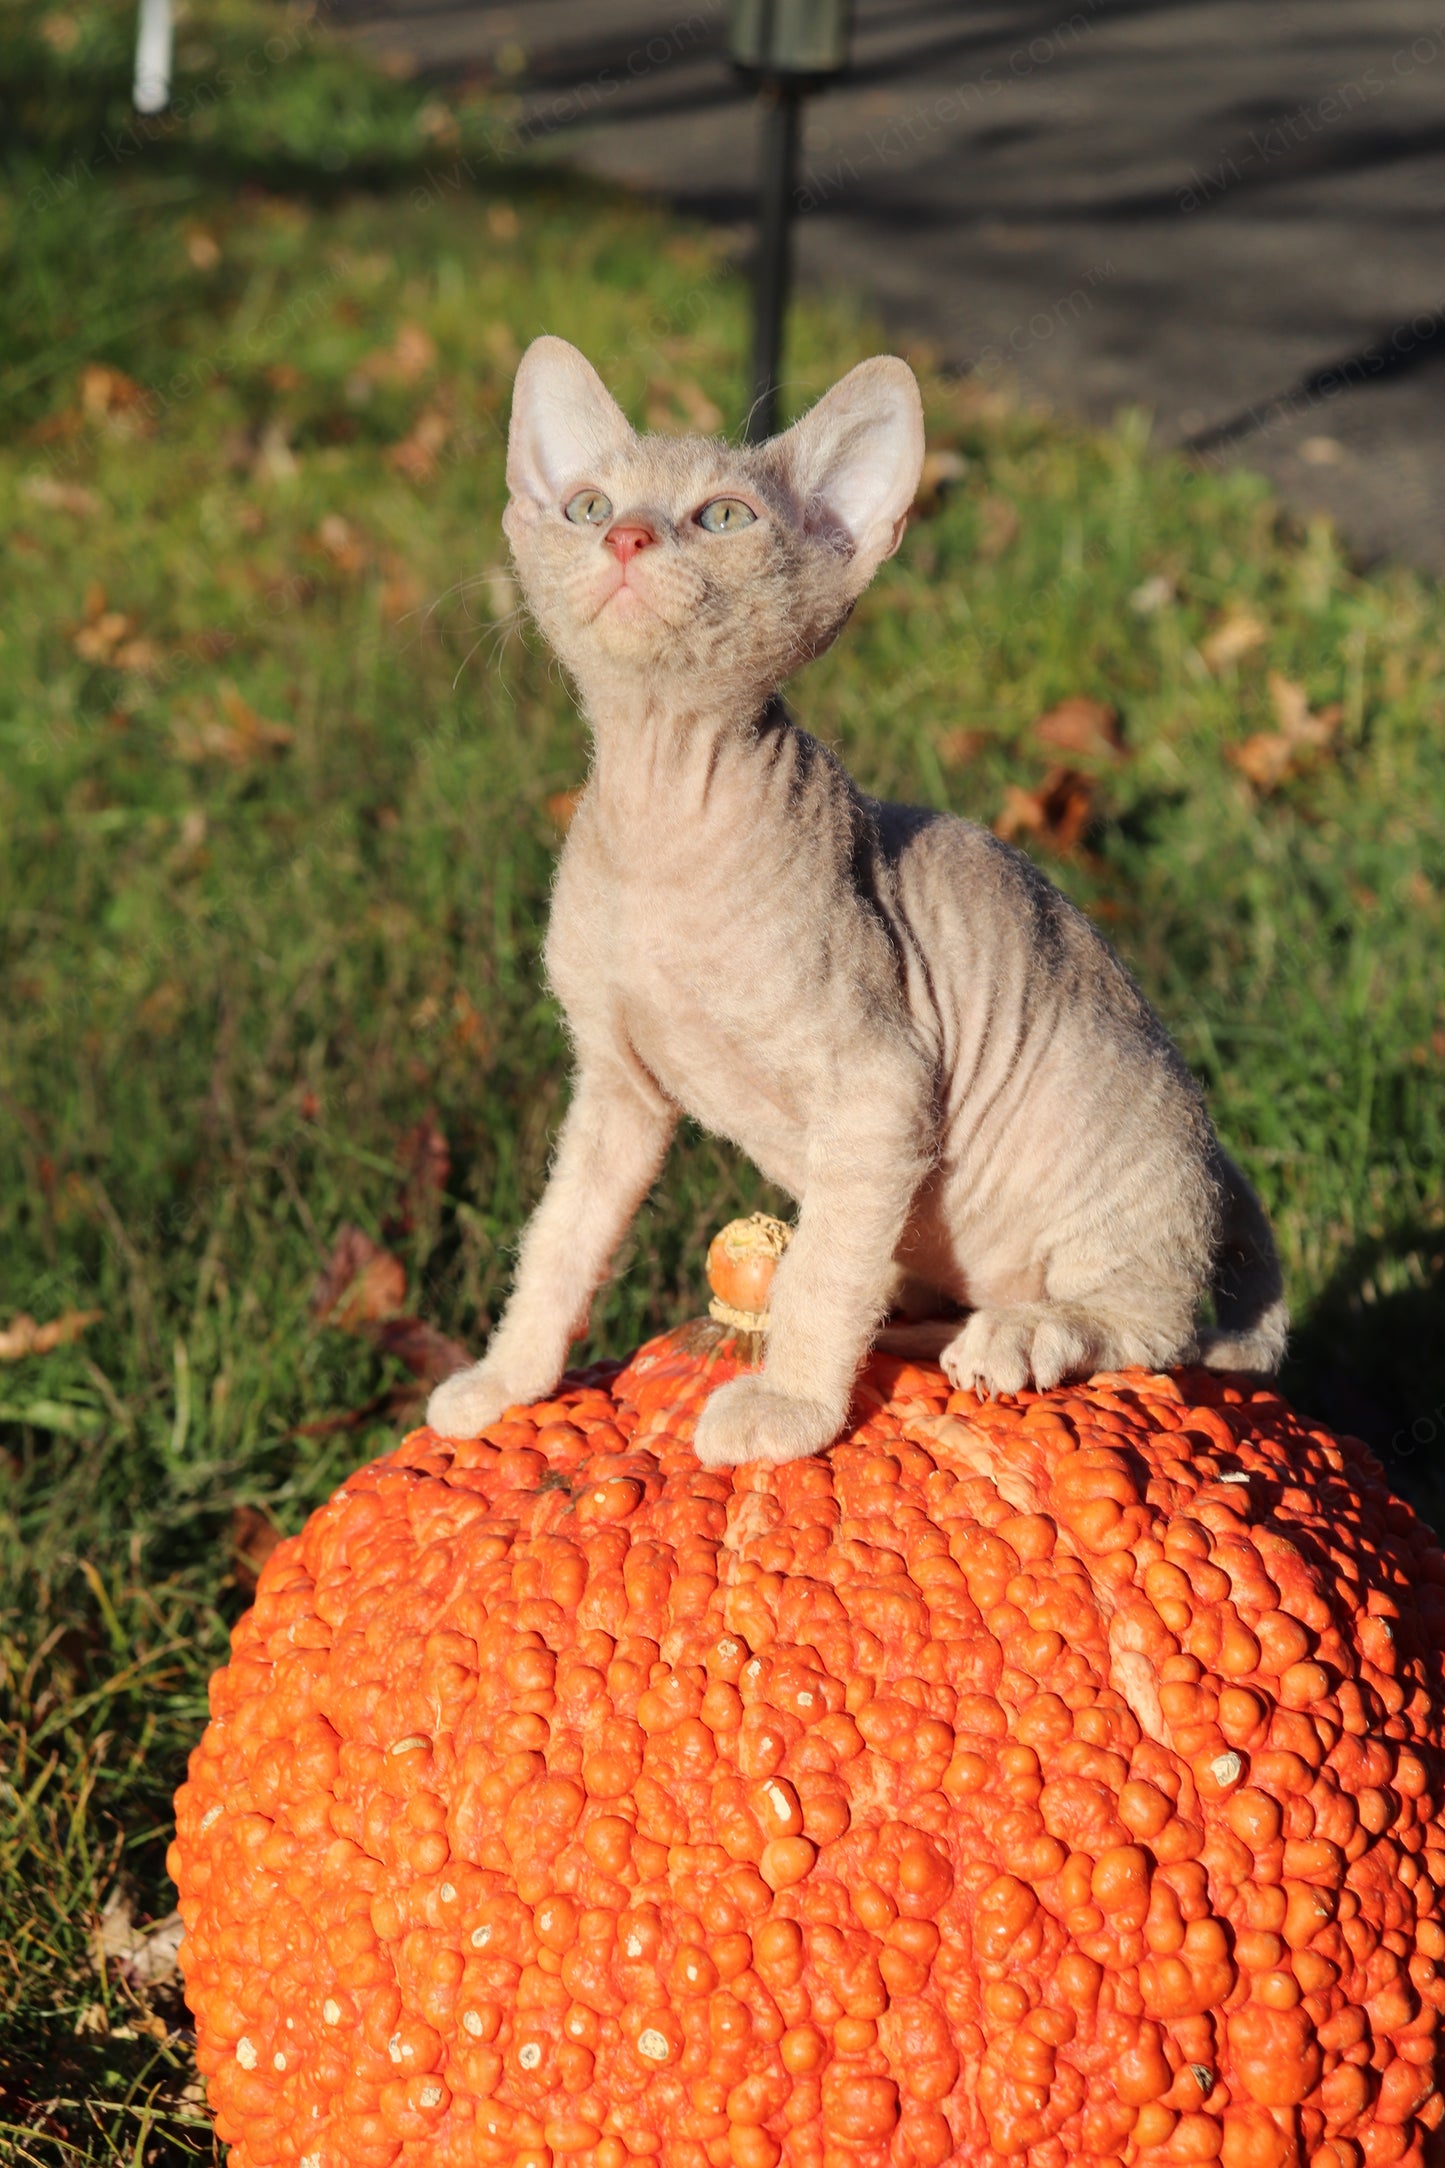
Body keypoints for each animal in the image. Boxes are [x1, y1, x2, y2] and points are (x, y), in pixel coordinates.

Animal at [424, 333, 1282, 1474]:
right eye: (586, 505)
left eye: (724, 517)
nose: (627, 536)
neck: (660, 806)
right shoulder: (614, 1088)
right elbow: (561, 1236)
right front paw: (505, 1380)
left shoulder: (882, 1085)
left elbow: (823, 1267)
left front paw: (789, 1407)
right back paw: (920, 1321)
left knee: (1154, 1325)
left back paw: (1021, 1333)